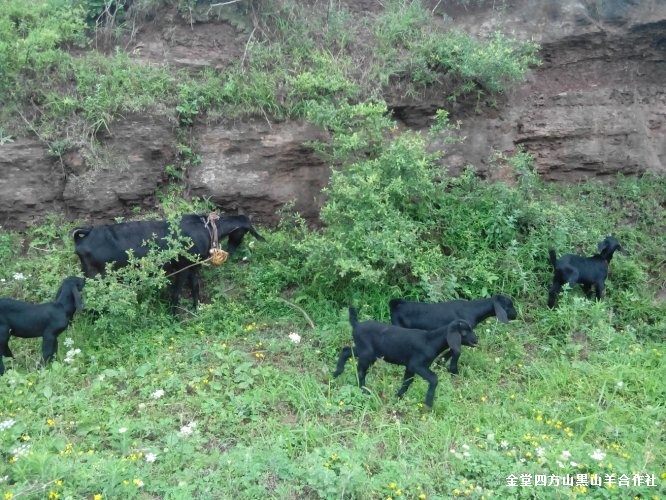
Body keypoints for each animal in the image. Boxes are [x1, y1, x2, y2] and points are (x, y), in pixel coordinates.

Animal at [70, 213, 262, 310]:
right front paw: (174, 317)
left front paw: (196, 309)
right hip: (96, 276)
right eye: (243, 232)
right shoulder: (183, 267)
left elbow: (195, 287)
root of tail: (84, 238)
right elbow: (176, 293)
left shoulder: (194, 267)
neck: (207, 228)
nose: (232, 251)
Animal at [332, 308, 478, 410]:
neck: (431, 340)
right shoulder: (416, 364)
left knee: (346, 351)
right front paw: (428, 404)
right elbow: (433, 378)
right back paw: (363, 391)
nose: (477, 340)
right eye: (464, 332)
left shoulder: (410, 366)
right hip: (367, 352)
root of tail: (356, 325)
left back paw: (336, 373)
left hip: (365, 350)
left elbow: (407, 382)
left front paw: (398, 397)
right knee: (360, 370)